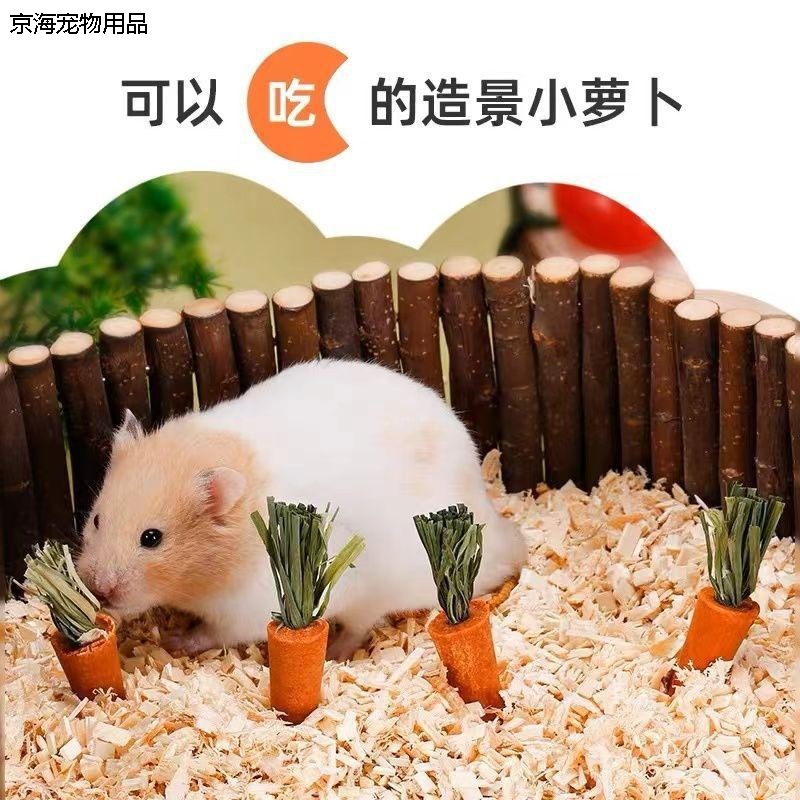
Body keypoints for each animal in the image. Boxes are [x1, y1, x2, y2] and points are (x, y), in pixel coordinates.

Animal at [76, 359, 527, 659]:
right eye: (96, 519)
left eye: (152, 539)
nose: (98, 590)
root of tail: (500, 531)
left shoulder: (247, 609)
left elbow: (214, 633)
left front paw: (172, 642)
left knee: (360, 626)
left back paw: (336, 653)